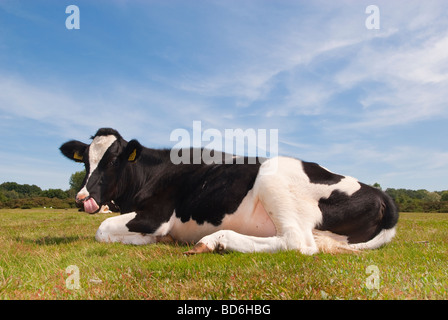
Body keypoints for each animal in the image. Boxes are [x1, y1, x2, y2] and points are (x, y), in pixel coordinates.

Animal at [59, 127, 400, 255]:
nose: (83, 199)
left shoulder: (157, 215)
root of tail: (382, 194)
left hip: (274, 180)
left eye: (113, 160)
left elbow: (102, 229)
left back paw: (215, 241)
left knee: (297, 243)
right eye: (86, 160)